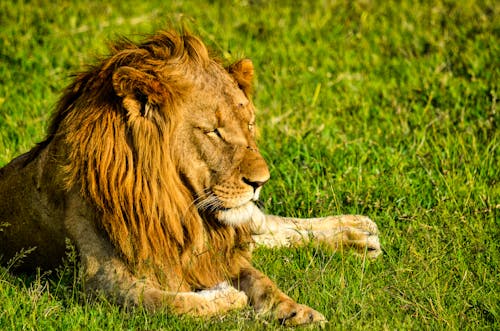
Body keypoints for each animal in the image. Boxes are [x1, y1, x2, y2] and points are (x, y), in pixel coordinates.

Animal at [0, 30, 376, 326]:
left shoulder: (216, 250)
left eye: (249, 124)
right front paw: (227, 297)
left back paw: (359, 232)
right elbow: (168, 303)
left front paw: (295, 311)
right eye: (213, 131)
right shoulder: (97, 280)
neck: (176, 205)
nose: (261, 181)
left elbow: (261, 280)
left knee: (270, 226)